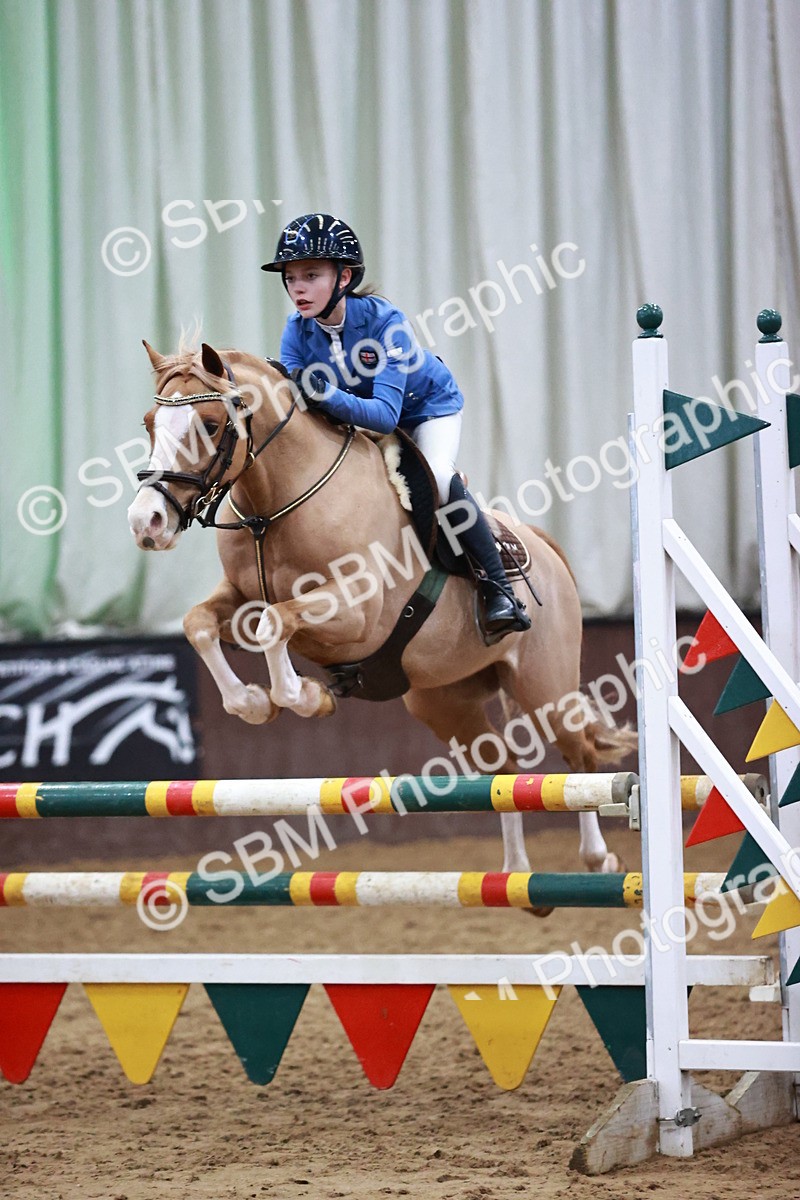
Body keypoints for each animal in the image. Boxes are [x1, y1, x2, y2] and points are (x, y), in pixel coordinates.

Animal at [128, 339, 637, 881]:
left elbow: (274, 623)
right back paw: (514, 871)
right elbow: (200, 624)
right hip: (443, 701)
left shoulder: (357, 611)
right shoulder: (240, 597)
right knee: (502, 772)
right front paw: (254, 703)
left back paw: (599, 859)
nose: (146, 522)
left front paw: (307, 696)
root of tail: (541, 543)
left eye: (208, 424)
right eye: (149, 423)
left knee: (579, 756)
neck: (277, 506)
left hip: (546, 687)